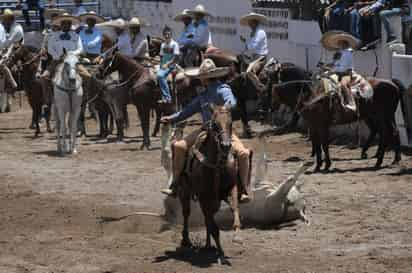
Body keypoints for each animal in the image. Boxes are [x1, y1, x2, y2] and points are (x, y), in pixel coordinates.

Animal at [179, 104, 240, 264]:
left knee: (207, 219)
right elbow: (214, 228)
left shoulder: (231, 189)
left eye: (230, 123)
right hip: (185, 191)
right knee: (187, 213)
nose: (225, 145)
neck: (217, 165)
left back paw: (207, 245)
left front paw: (237, 235)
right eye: (215, 125)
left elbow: (234, 208)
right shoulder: (204, 197)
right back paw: (186, 240)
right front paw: (221, 253)